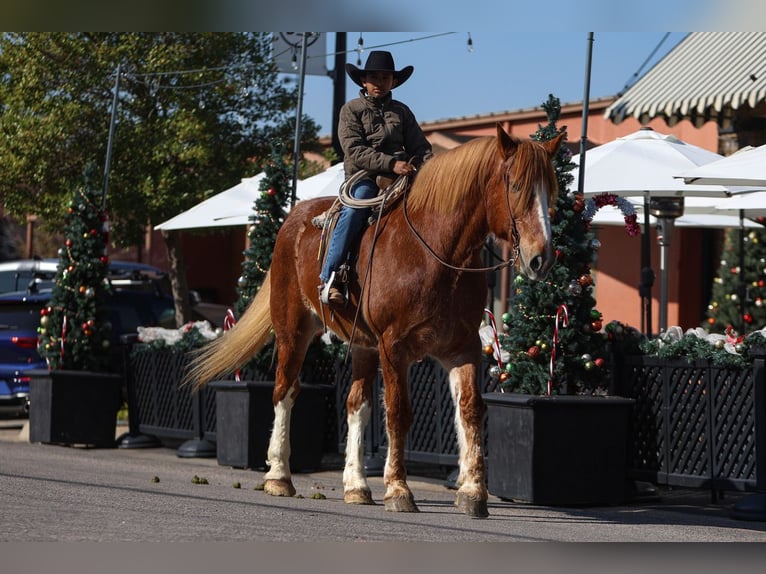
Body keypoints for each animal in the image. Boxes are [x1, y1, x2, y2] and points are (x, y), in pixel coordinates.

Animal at [192, 127, 564, 520]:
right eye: (516, 185)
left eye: (550, 190)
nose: (541, 258)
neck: (437, 254)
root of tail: (294, 219)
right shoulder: (394, 347)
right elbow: (398, 412)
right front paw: (398, 489)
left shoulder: (463, 348)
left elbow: (470, 411)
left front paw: (473, 492)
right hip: (293, 330)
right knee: (285, 391)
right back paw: (279, 475)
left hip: (362, 345)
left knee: (356, 404)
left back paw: (356, 485)